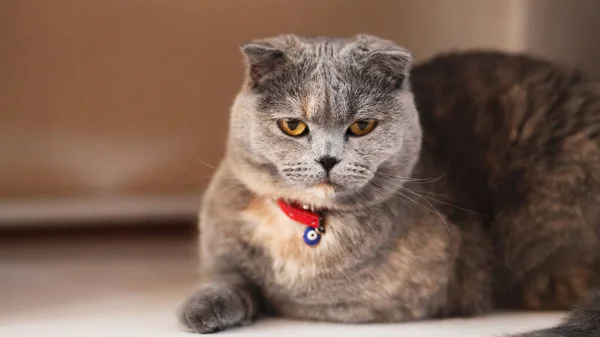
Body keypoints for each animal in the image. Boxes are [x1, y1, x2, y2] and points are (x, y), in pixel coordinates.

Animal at [178, 33, 600, 334]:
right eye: (293, 125)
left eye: (362, 126)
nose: (328, 159)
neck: (304, 223)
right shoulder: (222, 249)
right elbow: (228, 276)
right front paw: (201, 309)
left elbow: (292, 296)